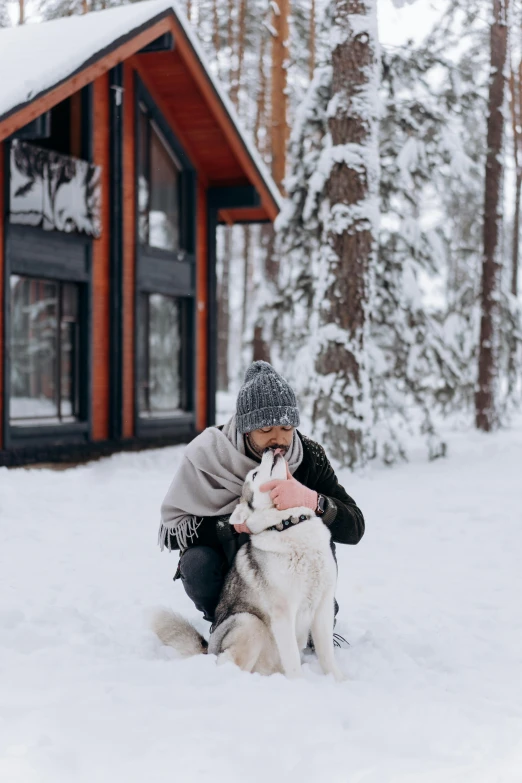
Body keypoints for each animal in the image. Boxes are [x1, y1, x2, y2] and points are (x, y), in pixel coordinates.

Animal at [152, 450, 344, 684]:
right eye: (254, 474)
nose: (269, 451)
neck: (288, 524)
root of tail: (209, 649)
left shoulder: (323, 607)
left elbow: (327, 656)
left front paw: (339, 681)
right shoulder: (283, 613)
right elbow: (292, 659)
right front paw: (299, 684)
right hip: (249, 621)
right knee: (228, 662)